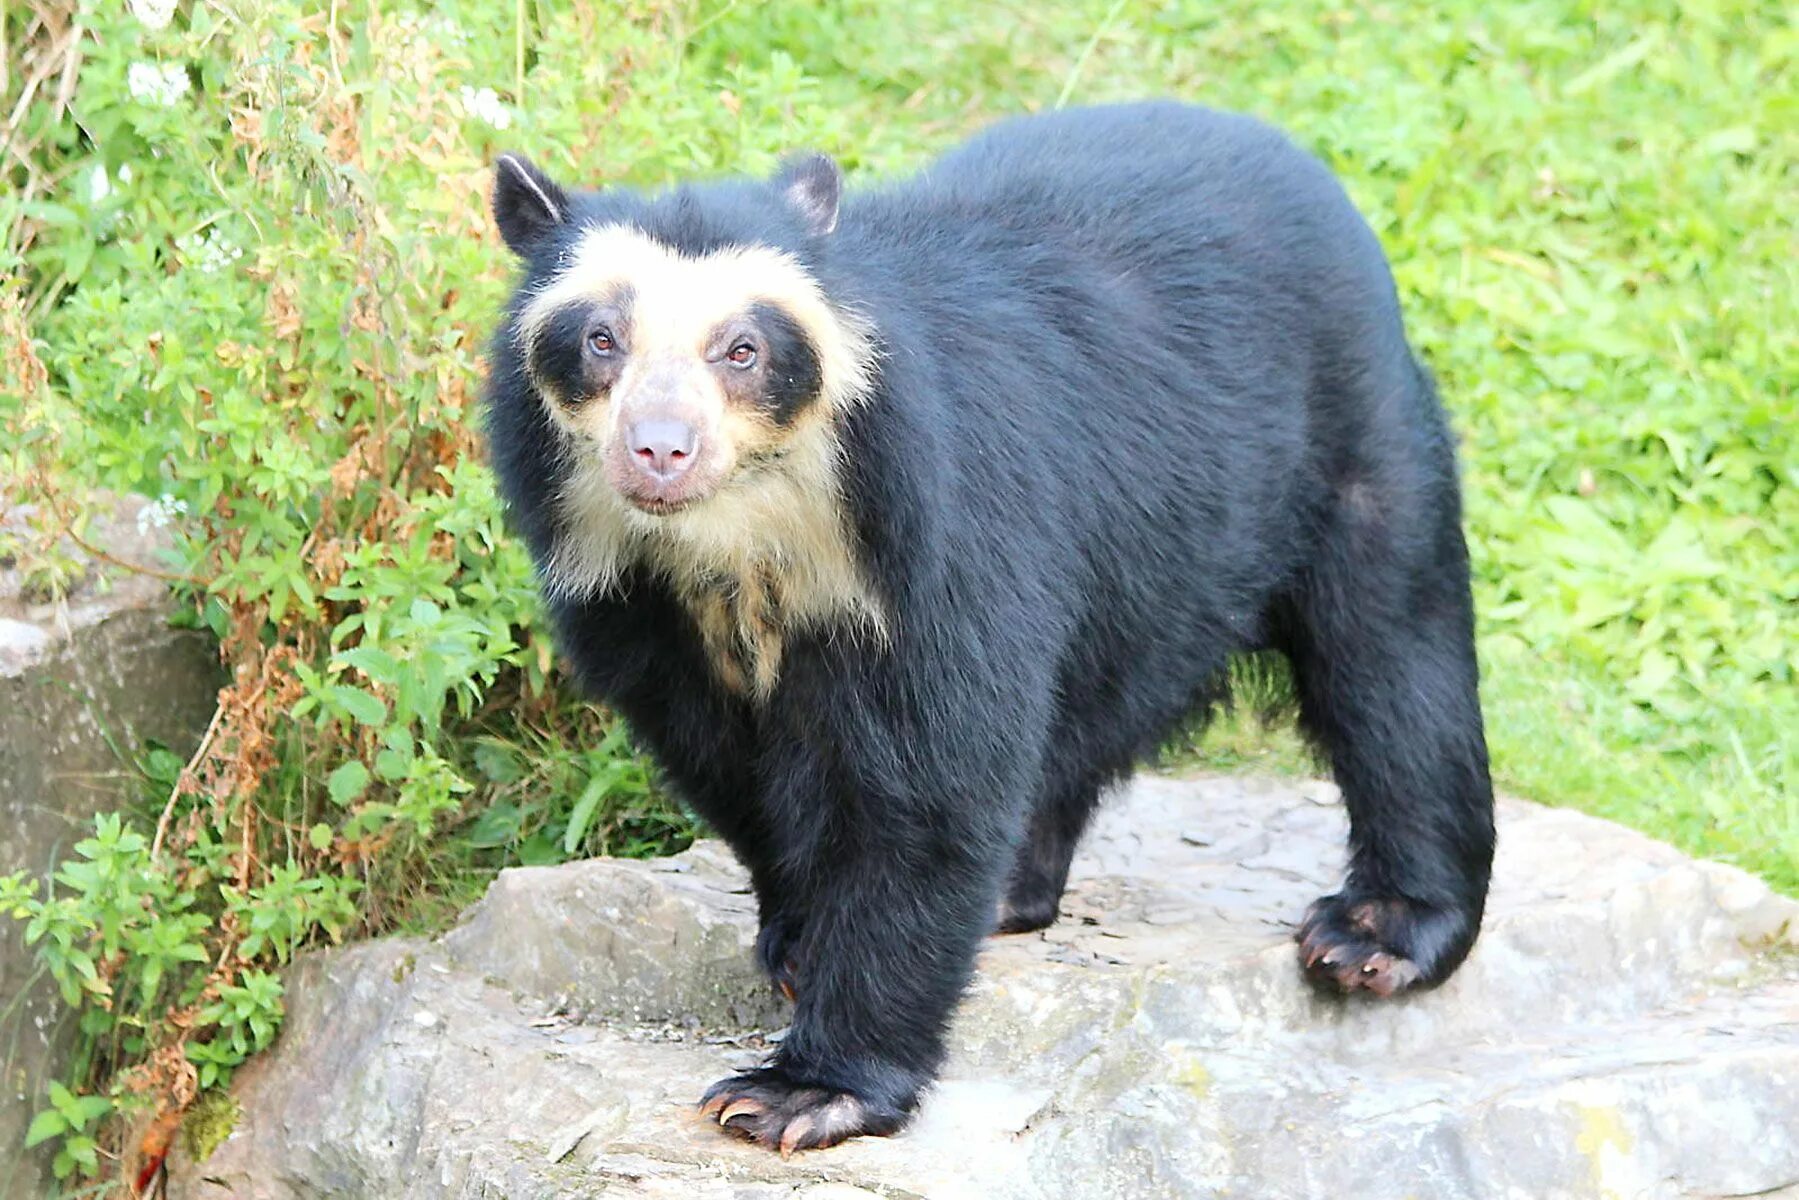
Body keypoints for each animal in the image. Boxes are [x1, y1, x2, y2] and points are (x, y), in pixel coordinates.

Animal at [478, 100, 1489, 1151]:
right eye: (600, 339)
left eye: (743, 349)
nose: (660, 452)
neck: (742, 542)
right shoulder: (634, 603)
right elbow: (730, 772)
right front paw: (797, 941)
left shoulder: (935, 538)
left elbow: (931, 790)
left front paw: (797, 1093)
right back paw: (1014, 889)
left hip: (1355, 443)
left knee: (1393, 655)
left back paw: (1375, 934)